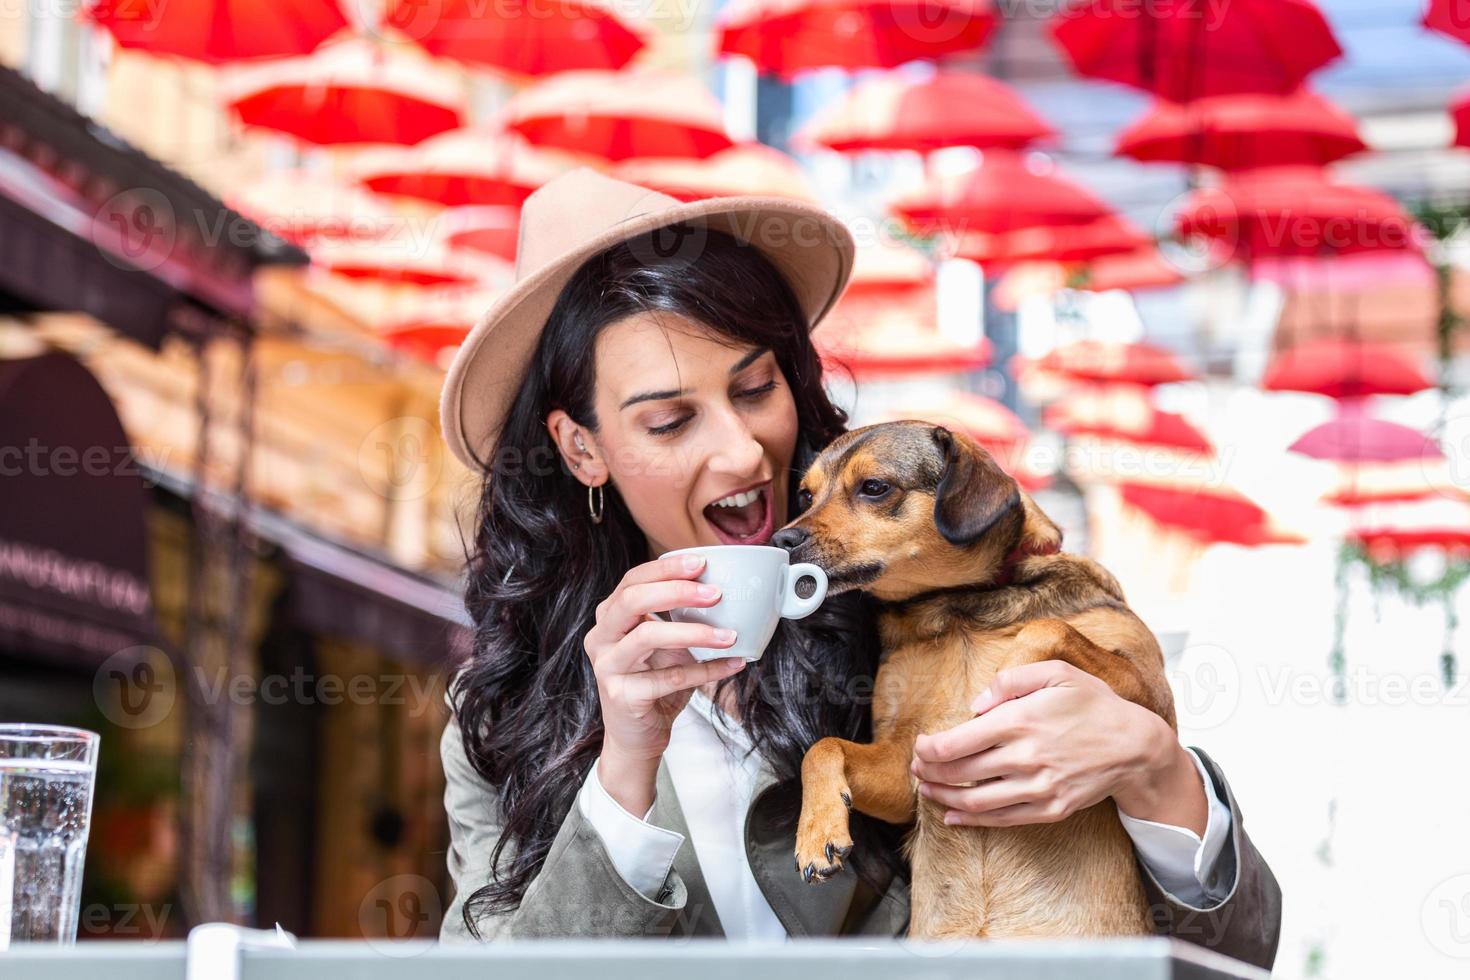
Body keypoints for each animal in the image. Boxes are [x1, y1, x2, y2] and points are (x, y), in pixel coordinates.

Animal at [776, 423, 1176, 940]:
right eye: (806, 495)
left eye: (874, 488)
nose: (781, 538)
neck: (958, 606)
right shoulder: (906, 768)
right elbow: (823, 748)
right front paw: (817, 831)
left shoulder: (1154, 700)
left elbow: (1047, 629)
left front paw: (1008, 682)